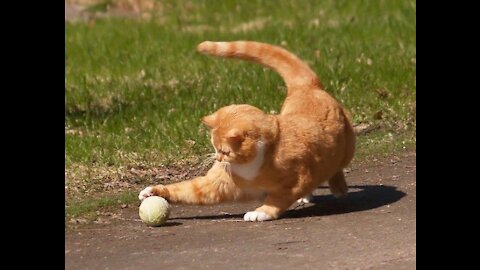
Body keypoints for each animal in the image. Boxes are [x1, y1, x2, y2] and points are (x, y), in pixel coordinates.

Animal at [139, 40, 356, 221]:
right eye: (214, 148)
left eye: (224, 151)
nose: (218, 159)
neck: (250, 166)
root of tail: (307, 87)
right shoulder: (215, 184)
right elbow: (185, 189)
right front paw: (153, 191)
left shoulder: (296, 180)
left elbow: (276, 199)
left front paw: (261, 212)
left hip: (346, 149)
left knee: (337, 168)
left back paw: (338, 188)